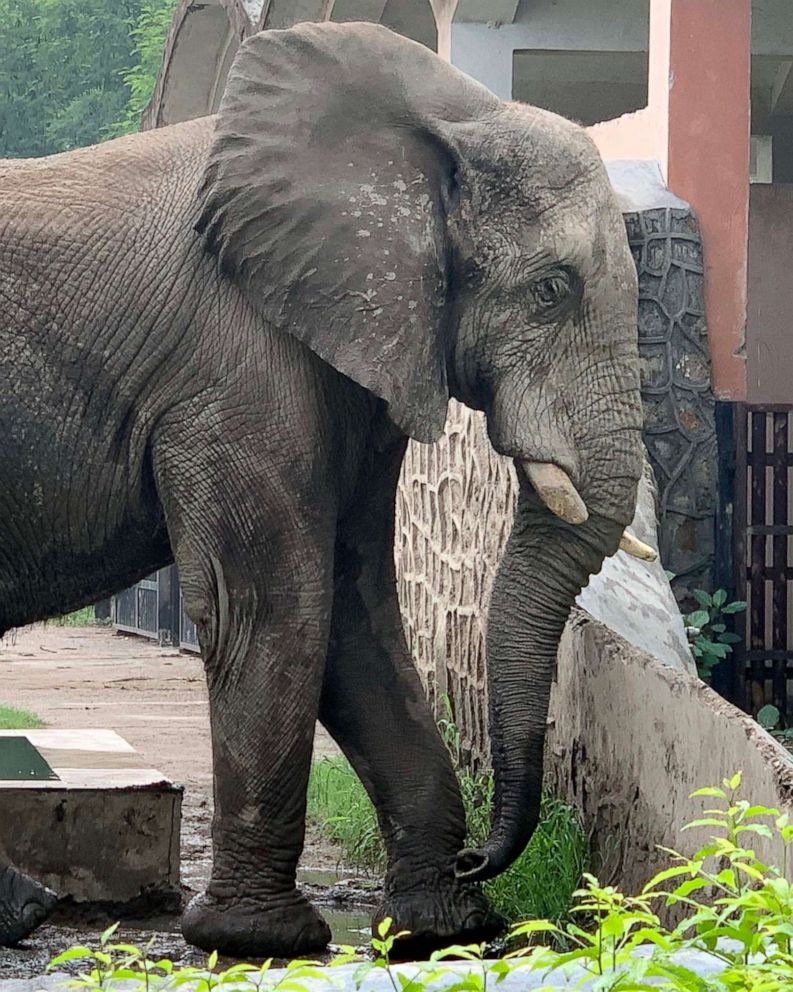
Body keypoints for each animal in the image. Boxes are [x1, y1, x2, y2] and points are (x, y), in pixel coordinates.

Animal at [0, 21, 645, 957]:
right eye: (551, 289)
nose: (480, 861)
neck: (450, 115)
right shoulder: (233, 362)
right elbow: (274, 603)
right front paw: (259, 940)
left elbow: (355, 608)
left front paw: (435, 931)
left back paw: (24, 915)